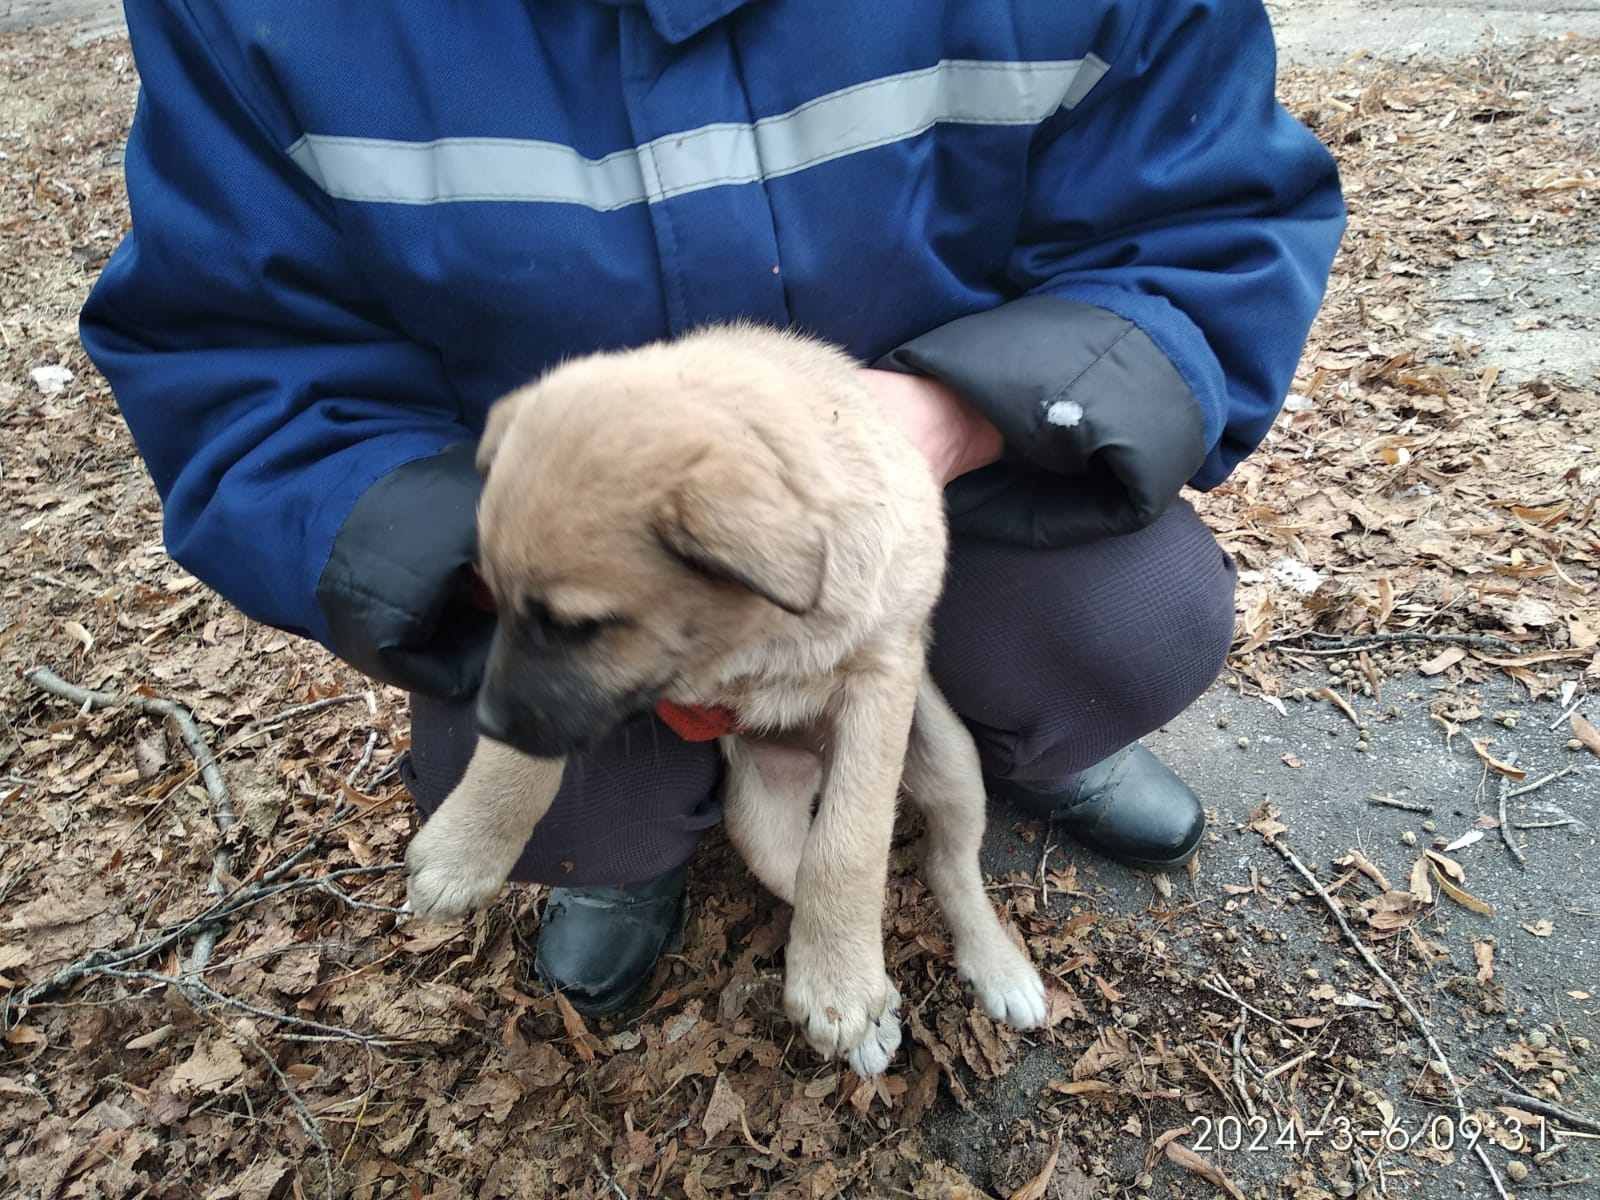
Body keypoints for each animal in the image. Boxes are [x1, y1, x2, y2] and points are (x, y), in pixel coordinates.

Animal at [403, 324, 1049, 1075]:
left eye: (578, 627)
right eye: (493, 597)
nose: (484, 720)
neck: (758, 629)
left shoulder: (881, 679)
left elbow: (851, 843)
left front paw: (837, 982)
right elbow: (529, 754)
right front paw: (467, 843)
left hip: (948, 763)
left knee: (947, 869)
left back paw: (991, 969)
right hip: (758, 822)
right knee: (806, 875)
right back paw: (878, 1005)